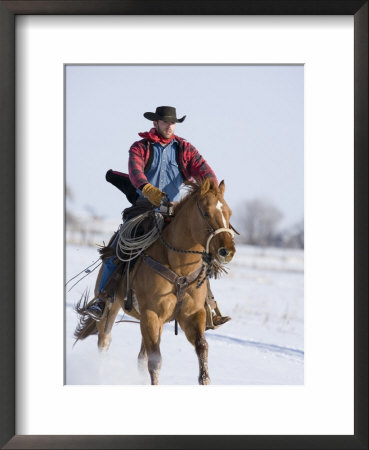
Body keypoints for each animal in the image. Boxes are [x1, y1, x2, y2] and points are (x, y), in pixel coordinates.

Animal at [74, 178, 234, 384]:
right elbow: (155, 362)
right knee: (104, 342)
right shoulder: (151, 314)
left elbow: (202, 347)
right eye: (206, 212)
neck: (178, 268)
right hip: (111, 309)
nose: (227, 251)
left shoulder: (192, 315)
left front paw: (204, 378)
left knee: (141, 357)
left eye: (229, 213)